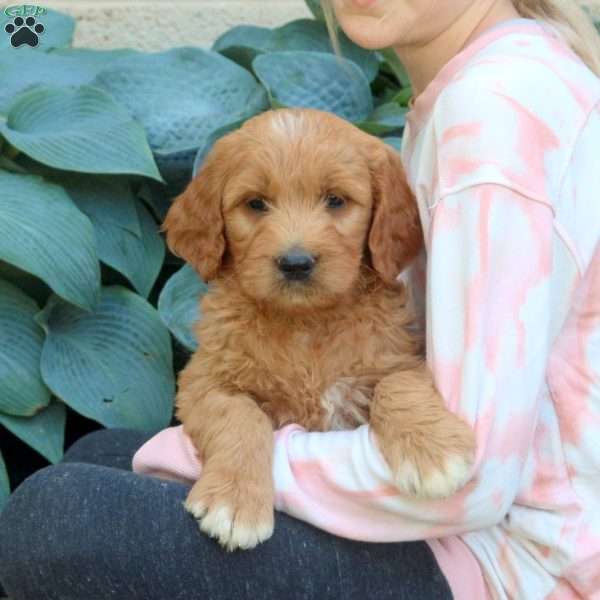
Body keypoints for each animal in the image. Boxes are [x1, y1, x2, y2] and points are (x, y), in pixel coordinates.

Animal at [162, 106, 476, 548]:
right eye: (255, 204)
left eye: (336, 200)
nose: (296, 263)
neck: (306, 324)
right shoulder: (201, 379)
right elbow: (239, 414)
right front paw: (234, 501)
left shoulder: (396, 355)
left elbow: (398, 383)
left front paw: (432, 452)